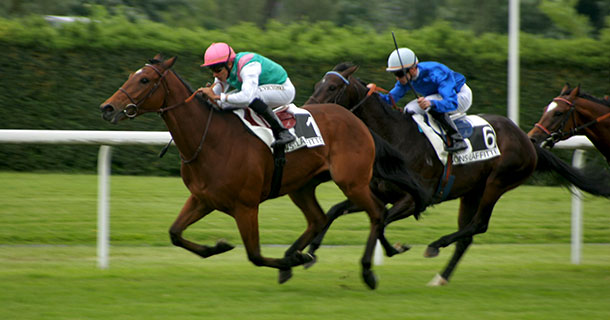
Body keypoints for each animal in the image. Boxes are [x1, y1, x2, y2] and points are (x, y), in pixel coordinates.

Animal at [97, 55, 428, 290]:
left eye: (144, 79)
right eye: (131, 76)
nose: (107, 108)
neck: (209, 139)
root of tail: (358, 122)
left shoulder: (246, 206)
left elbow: (254, 255)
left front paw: (282, 263)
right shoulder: (203, 199)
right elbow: (175, 233)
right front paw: (218, 246)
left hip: (353, 182)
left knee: (376, 213)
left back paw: (366, 270)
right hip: (302, 185)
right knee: (319, 219)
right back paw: (298, 254)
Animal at [304, 62, 608, 284]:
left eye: (332, 87)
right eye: (318, 84)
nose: (309, 110)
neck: (396, 138)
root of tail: (527, 139)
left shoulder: (414, 200)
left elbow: (381, 221)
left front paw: (394, 249)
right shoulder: (379, 193)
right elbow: (334, 211)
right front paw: (310, 250)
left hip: (497, 184)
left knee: (478, 225)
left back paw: (436, 245)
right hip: (471, 192)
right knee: (467, 236)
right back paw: (441, 277)